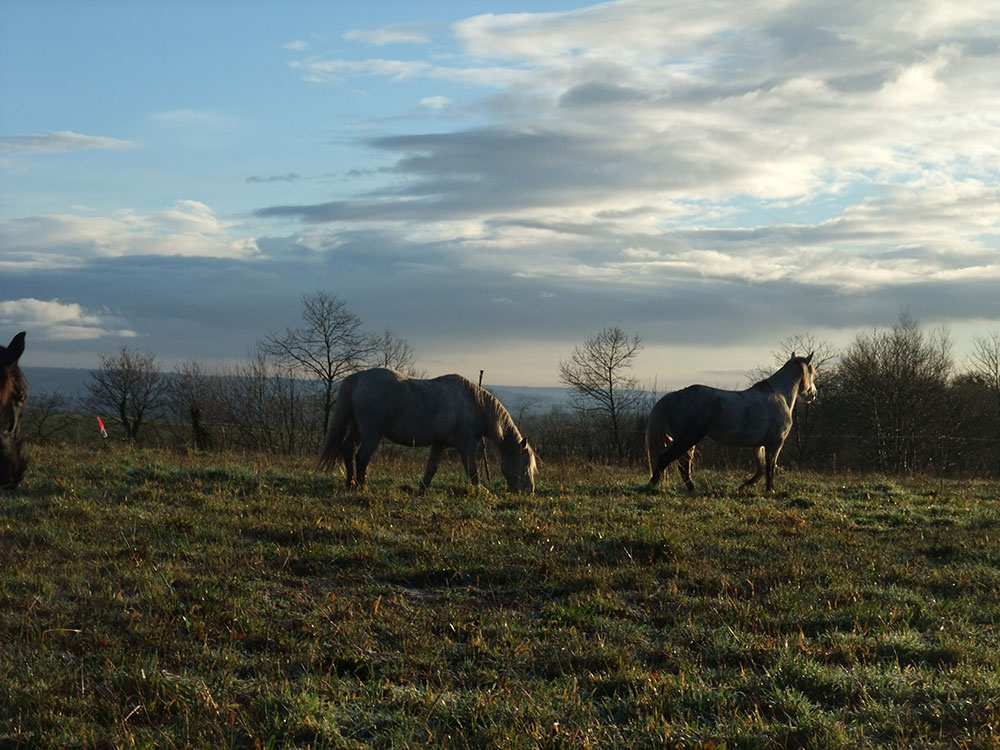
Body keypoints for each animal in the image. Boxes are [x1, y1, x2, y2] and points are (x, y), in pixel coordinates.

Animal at [320, 368, 540, 496]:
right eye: (525, 464)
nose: (529, 492)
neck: (474, 404)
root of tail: (358, 377)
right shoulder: (467, 447)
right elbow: (472, 471)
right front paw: (480, 491)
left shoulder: (439, 444)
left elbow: (431, 469)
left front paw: (422, 491)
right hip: (372, 434)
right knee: (362, 457)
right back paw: (362, 487)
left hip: (357, 430)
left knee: (348, 449)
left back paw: (350, 484)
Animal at [648, 354, 820, 494]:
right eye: (812, 373)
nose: (813, 394)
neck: (780, 396)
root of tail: (676, 395)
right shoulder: (775, 443)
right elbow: (770, 467)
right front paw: (770, 490)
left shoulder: (758, 445)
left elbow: (761, 469)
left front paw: (743, 487)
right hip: (686, 440)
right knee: (666, 460)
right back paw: (652, 486)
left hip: (688, 442)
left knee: (683, 466)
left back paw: (691, 489)